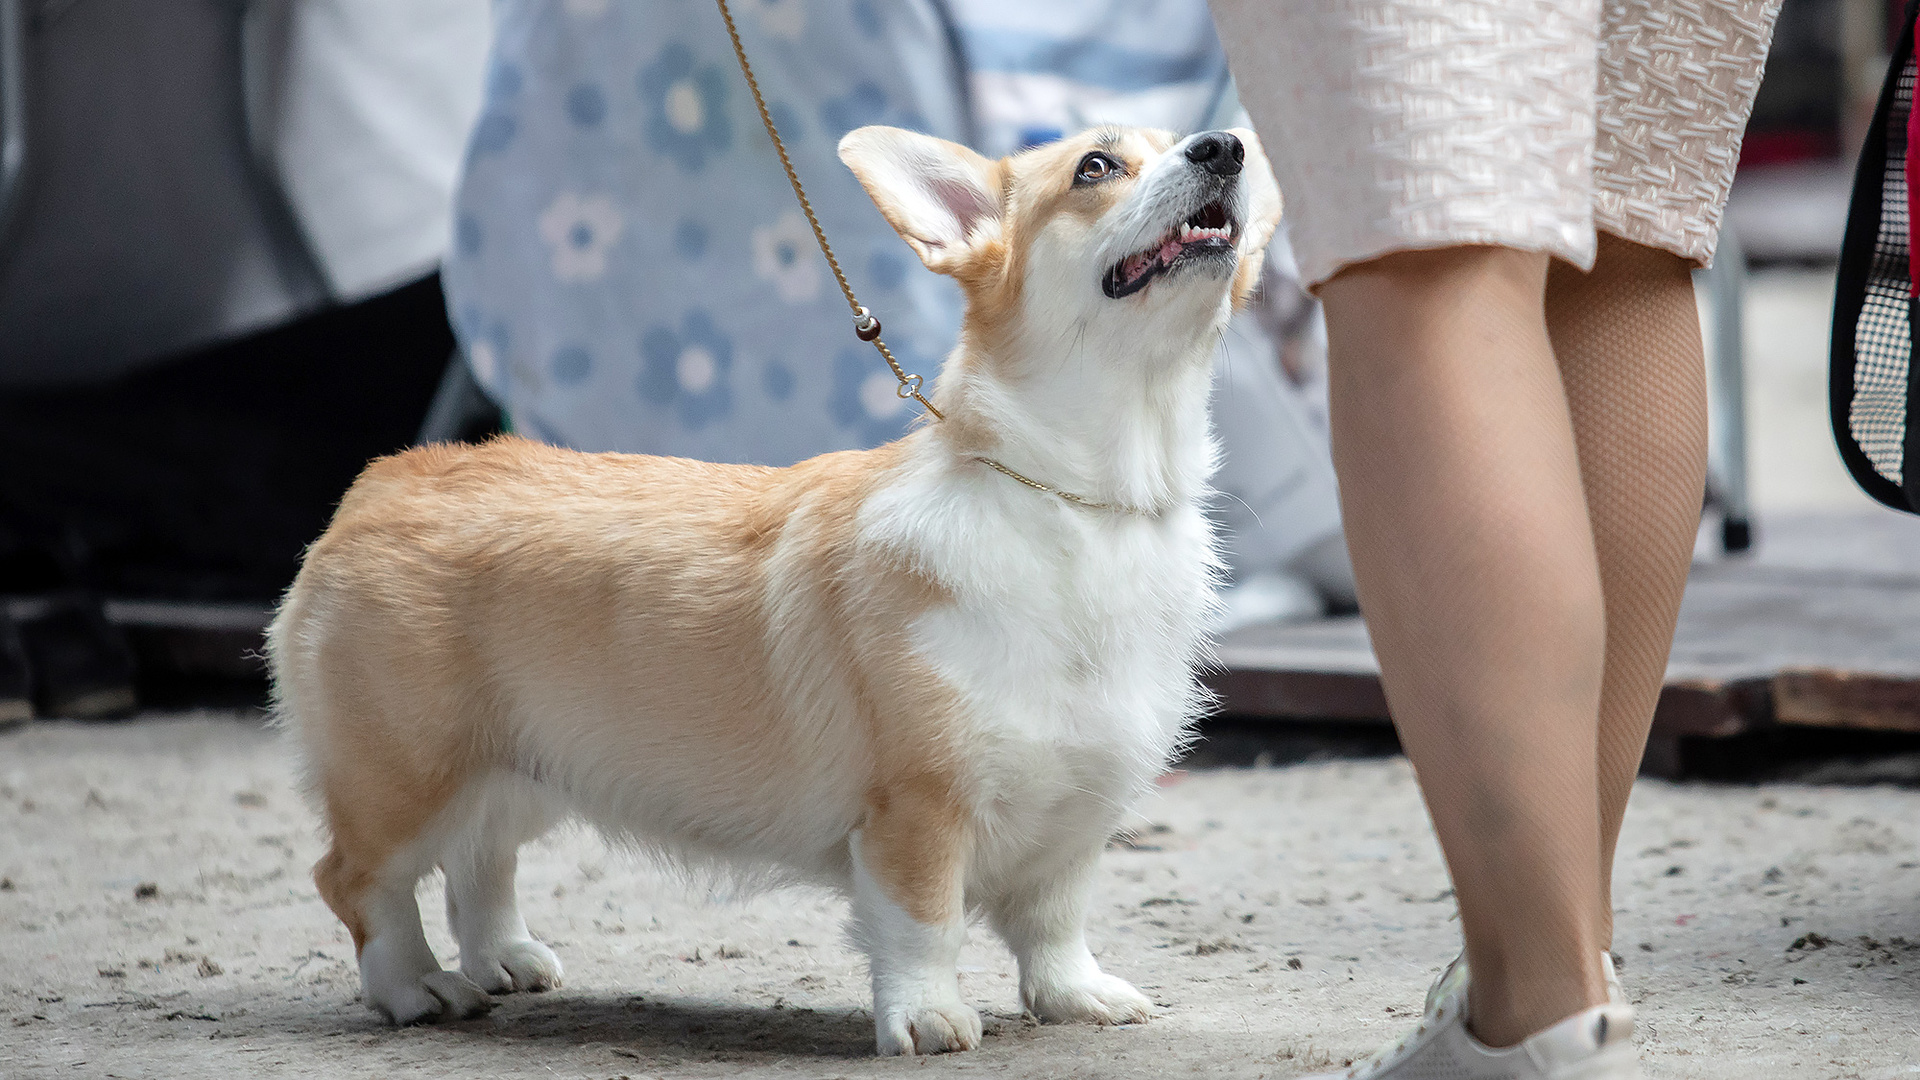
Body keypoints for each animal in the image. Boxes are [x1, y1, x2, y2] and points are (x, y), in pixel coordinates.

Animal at [270, 119, 1282, 1053]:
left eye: (1181, 139)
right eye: (1096, 167)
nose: (1224, 145)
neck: (1090, 500)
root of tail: (383, 480)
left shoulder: (1078, 810)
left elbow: (1055, 923)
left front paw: (1078, 999)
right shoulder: (917, 809)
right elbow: (927, 925)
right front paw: (928, 1020)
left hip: (523, 765)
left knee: (481, 862)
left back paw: (505, 962)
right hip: (410, 778)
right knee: (358, 880)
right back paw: (416, 988)